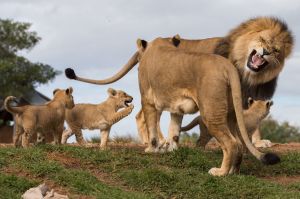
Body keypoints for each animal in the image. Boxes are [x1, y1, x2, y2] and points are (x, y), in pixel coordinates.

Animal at [65, 17, 292, 148]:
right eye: (262, 41)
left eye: (276, 48)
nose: (266, 52)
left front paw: (257, 142)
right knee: (145, 116)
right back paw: (157, 142)